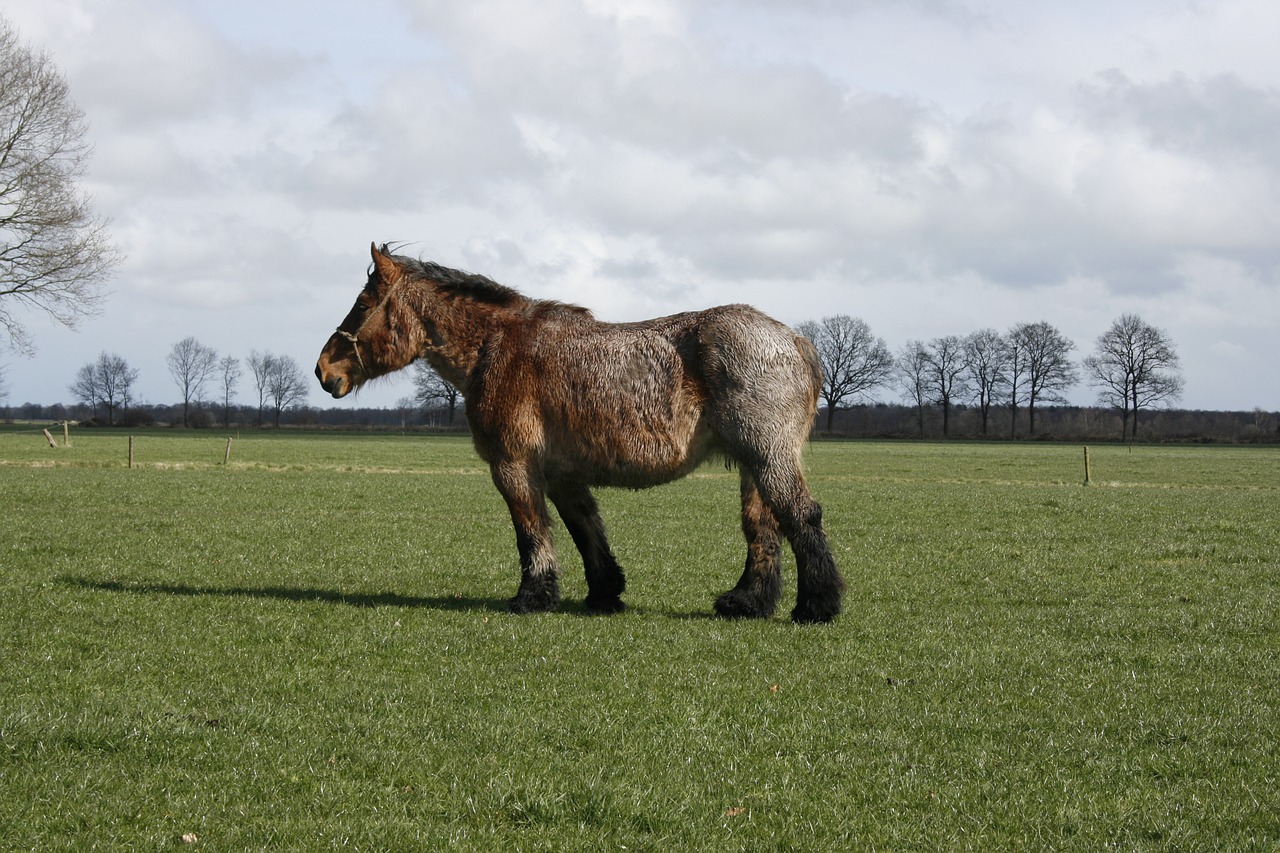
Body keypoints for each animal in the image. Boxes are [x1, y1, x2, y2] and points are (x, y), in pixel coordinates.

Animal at [314, 242, 844, 622]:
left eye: (363, 303)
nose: (324, 370)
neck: (497, 347)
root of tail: (795, 340)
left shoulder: (514, 466)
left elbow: (531, 531)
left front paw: (532, 597)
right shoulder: (561, 473)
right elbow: (586, 529)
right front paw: (604, 593)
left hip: (767, 456)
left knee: (801, 516)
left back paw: (817, 606)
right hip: (753, 464)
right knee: (764, 528)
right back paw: (747, 603)